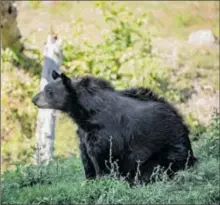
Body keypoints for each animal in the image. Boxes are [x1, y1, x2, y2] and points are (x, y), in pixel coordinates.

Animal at [31, 71, 197, 184]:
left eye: (49, 92)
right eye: (45, 88)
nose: (34, 99)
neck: (84, 114)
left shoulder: (105, 132)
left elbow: (100, 156)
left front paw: (101, 179)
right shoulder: (84, 133)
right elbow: (86, 157)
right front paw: (89, 180)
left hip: (166, 150)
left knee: (156, 168)